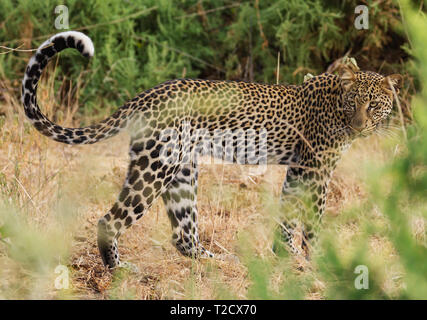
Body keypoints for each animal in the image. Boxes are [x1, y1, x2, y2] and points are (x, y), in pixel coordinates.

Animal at [20, 31, 402, 268]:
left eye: (374, 105)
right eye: (354, 104)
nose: (360, 126)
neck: (336, 105)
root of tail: (146, 95)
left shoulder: (299, 169)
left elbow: (288, 213)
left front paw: (286, 254)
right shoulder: (317, 169)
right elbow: (312, 217)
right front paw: (316, 259)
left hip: (181, 170)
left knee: (182, 234)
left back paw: (214, 261)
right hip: (156, 166)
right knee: (110, 219)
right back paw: (118, 269)